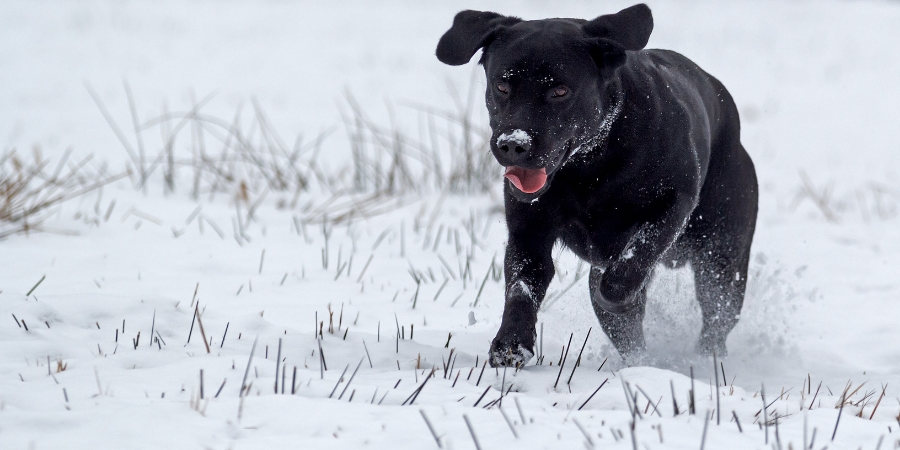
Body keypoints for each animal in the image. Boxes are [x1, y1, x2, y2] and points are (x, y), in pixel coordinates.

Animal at [436, 5, 760, 368]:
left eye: (560, 91)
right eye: (502, 86)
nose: (513, 143)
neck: (589, 171)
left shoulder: (674, 202)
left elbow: (638, 253)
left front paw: (618, 291)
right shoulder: (528, 233)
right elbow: (521, 287)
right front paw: (510, 345)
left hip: (723, 257)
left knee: (716, 316)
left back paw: (706, 360)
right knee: (631, 337)